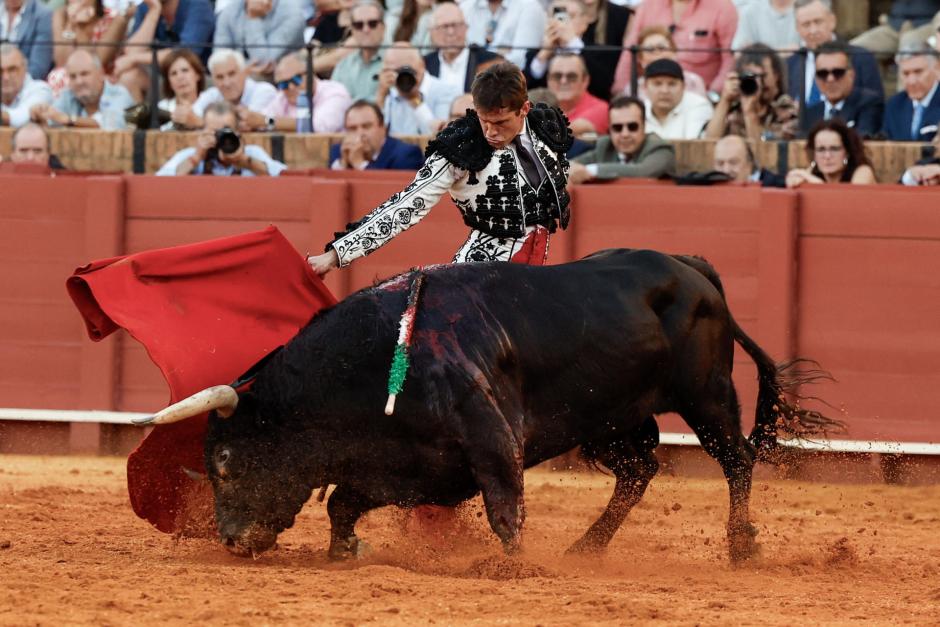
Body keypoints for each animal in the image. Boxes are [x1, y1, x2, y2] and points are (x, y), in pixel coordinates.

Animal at [147, 249, 836, 564]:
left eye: (226, 460)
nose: (232, 540)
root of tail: (690, 267)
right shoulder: (406, 461)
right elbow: (344, 501)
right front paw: (346, 551)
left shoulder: (490, 439)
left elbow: (507, 507)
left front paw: (513, 566)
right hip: (611, 419)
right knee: (639, 471)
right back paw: (586, 547)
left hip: (705, 396)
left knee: (737, 460)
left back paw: (741, 545)